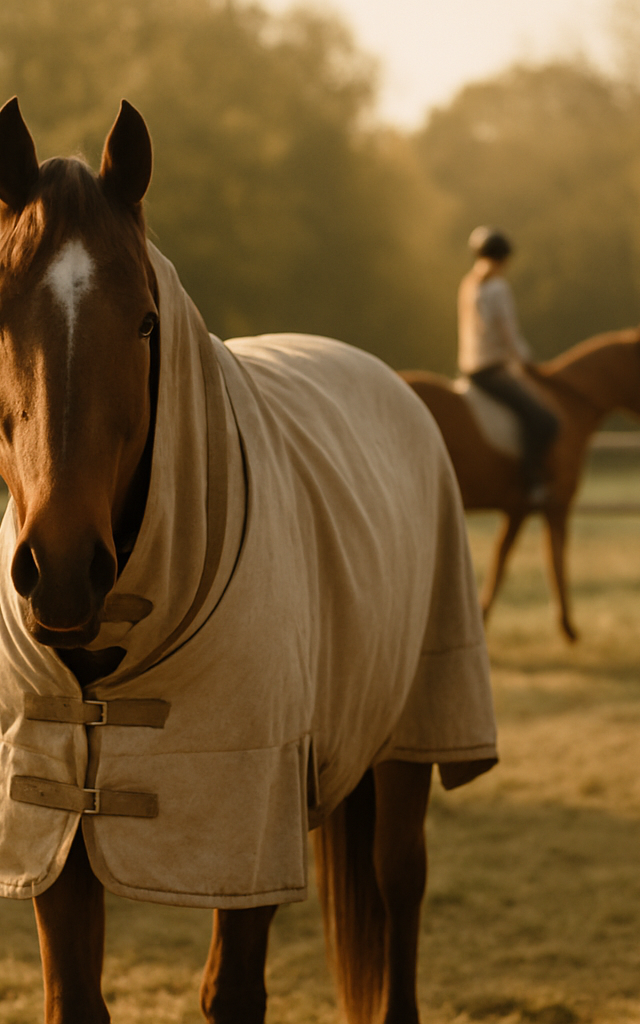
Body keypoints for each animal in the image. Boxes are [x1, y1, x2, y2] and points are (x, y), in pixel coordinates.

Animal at [0, 98, 497, 1024]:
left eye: (146, 322)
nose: (61, 568)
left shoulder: (246, 821)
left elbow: (232, 991)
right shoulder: (51, 821)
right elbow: (76, 996)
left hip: (414, 728)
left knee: (399, 881)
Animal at [400, 333, 640, 641]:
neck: (568, 402)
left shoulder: (518, 509)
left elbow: (501, 559)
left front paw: (483, 616)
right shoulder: (557, 503)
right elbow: (555, 557)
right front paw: (567, 627)